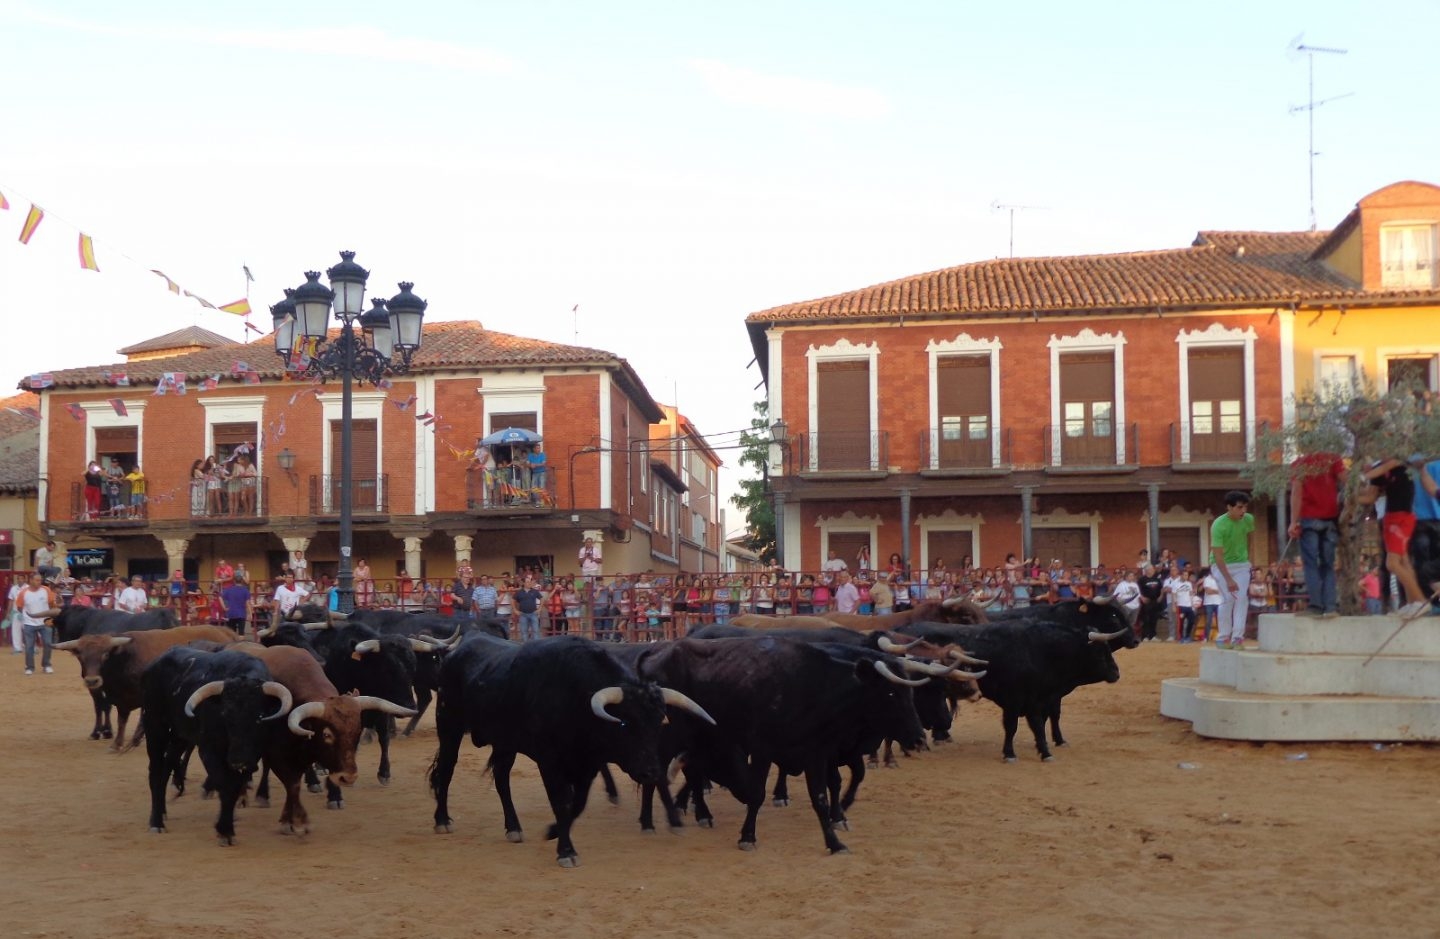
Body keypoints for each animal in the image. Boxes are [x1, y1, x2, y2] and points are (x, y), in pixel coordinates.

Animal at [53, 627, 237, 754]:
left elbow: (142, 718)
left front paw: (136, 740)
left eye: (105, 654)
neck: (124, 659)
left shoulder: (145, 696)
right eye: (80, 655)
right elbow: (121, 720)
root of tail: (226, 632)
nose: (92, 680)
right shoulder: (121, 699)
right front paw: (117, 743)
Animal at [227, 642, 414, 835]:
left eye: (356, 732)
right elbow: (291, 783)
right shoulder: (278, 753)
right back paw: (255, 794)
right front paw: (291, 820)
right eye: (326, 734)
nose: (348, 778)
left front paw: (334, 796)